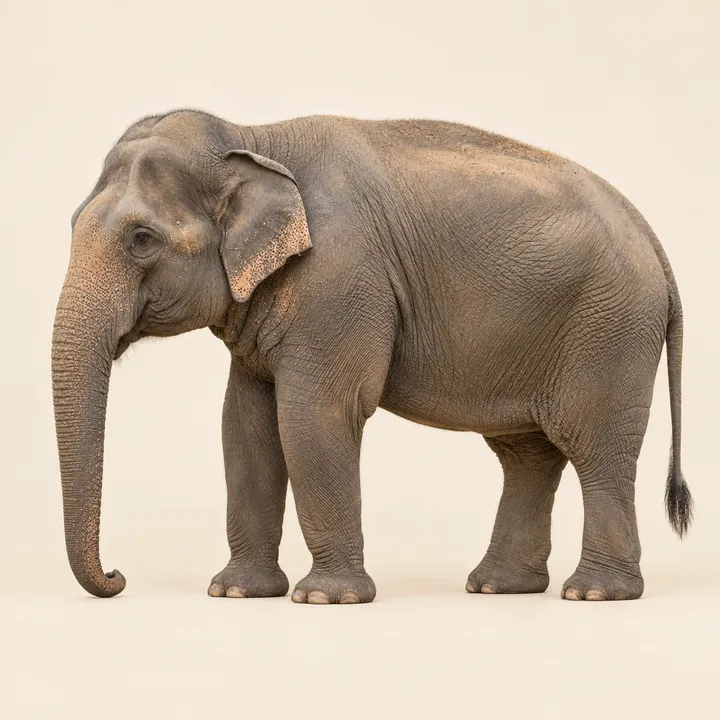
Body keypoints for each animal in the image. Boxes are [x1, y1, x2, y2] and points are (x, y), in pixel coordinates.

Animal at [52, 109, 692, 603]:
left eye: (141, 239)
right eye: (72, 225)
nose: (117, 576)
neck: (254, 136)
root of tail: (655, 244)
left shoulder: (341, 281)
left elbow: (313, 418)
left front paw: (324, 598)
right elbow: (244, 427)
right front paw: (234, 592)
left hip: (609, 330)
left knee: (595, 448)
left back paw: (594, 593)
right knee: (528, 455)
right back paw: (496, 586)